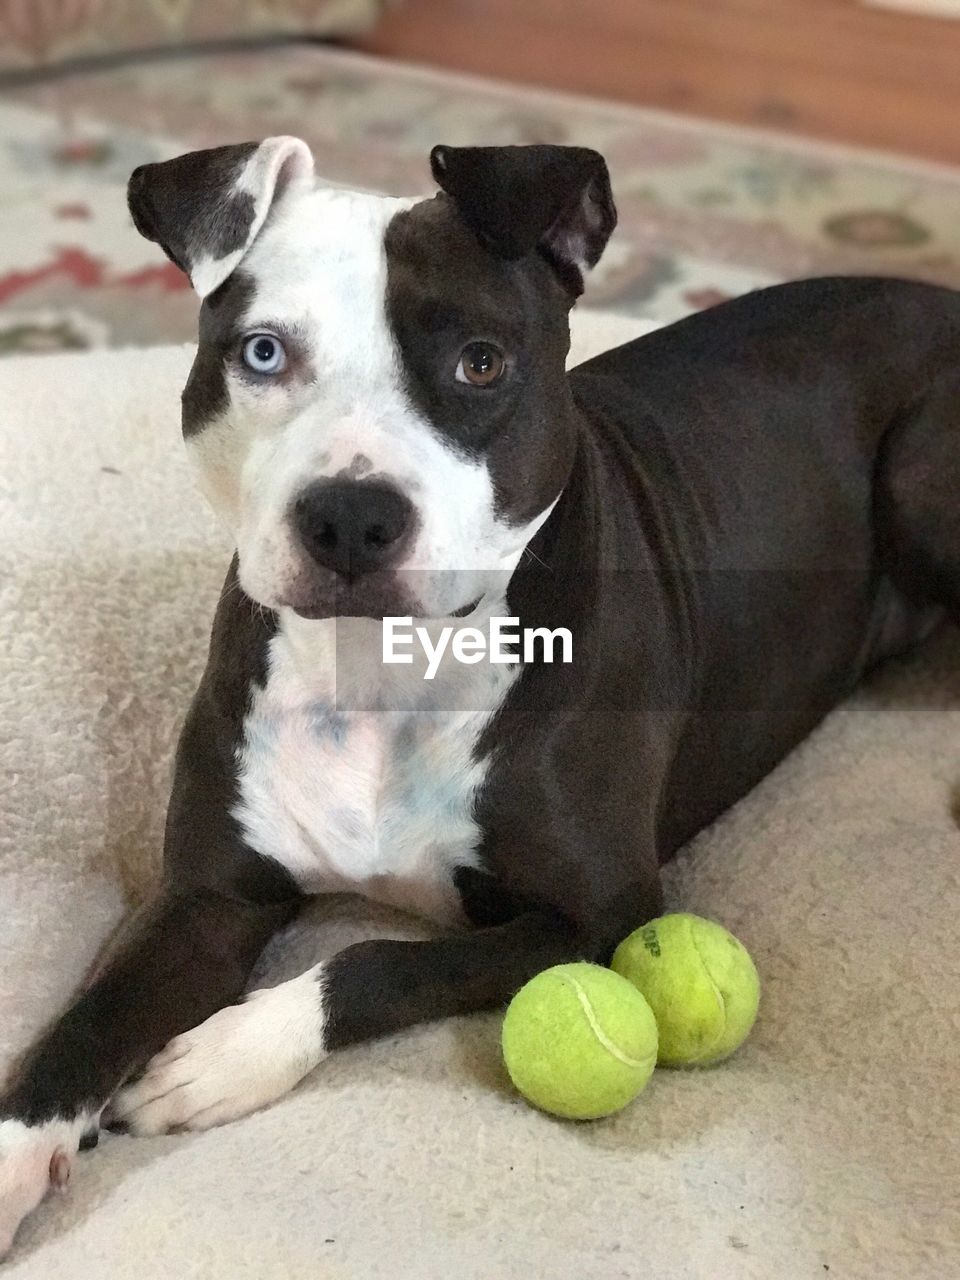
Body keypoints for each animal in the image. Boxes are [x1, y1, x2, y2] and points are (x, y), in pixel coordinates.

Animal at [1, 135, 960, 1254]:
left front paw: (229, 1051)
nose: (349, 517)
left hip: (922, 479)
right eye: (264, 353)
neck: (384, 667)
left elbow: (377, 960)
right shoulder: (206, 899)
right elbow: (88, 1019)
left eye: (480, 362)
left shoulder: (597, 911)